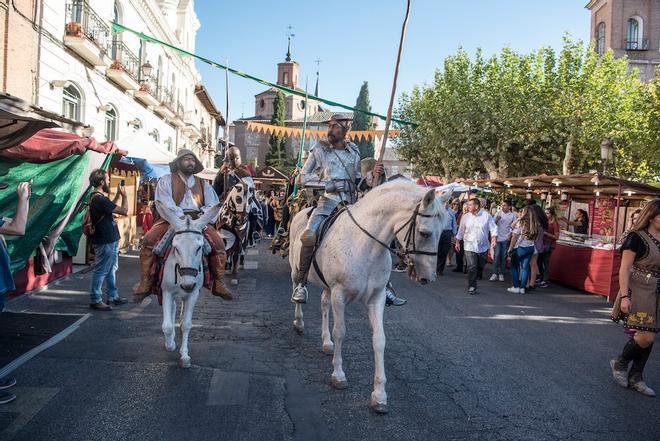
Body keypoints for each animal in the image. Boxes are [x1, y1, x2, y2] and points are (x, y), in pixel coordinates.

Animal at [155, 201, 222, 366]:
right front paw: (170, 344)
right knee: (172, 311)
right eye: (176, 248)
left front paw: (184, 355)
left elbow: (186, 324)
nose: (187, 285)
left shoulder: (193, 294)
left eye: (199, 247)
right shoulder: (166, 291)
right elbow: (167, 326)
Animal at [288, 179, 448, 412]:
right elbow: (340, 332)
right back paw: (299, 320)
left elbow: (379, 340)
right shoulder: (339, 294)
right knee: (298, 289)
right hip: (297, 270)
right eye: (425, 233)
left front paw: (379, 395)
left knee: (324, 305)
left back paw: (326, 343)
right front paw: (338, 375)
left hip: (328, 288)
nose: (428, 278)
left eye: (444, 232)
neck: (365, 246)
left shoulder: (376, 298)